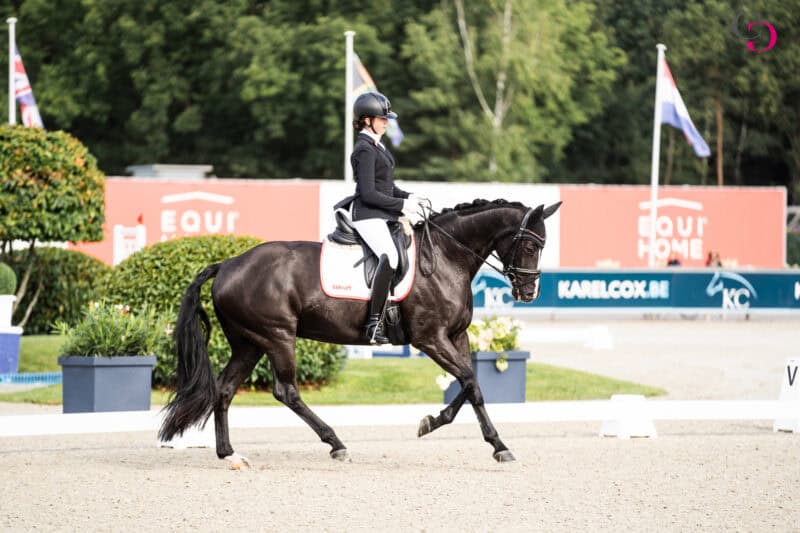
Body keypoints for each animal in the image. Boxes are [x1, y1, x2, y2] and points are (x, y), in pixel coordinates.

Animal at [159, 197, 564, 464]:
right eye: (530, 245)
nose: (528, 293)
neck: (447, 258)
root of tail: (227, 264)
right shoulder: (430, 339)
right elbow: (470, 382)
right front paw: (487, 442)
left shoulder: (456, 336)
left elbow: (471, 385)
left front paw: (445, 427)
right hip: (277, 337)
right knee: (286, 390)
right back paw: (335, 443)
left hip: (249, 342)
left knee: (224, 390)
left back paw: (229, 454)